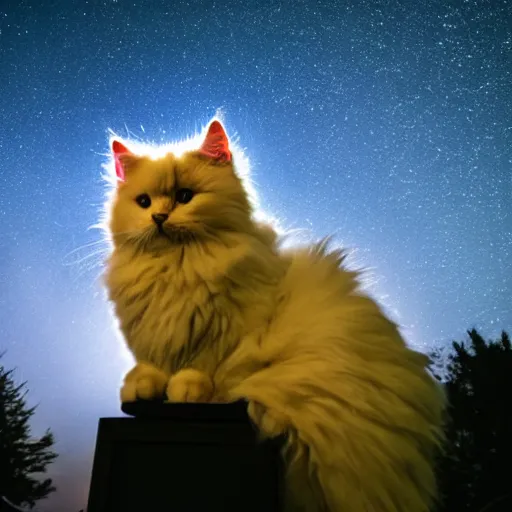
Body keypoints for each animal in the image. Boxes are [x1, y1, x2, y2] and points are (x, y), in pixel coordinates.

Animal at [103, 119, 444, 512]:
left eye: (186, 196)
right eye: (143, 202)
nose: (159, 217)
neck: (176, 267)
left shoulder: (226, 329)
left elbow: (202, 365)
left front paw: (188, 389)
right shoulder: (150, 336)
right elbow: (152, 367)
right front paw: (143, 387)